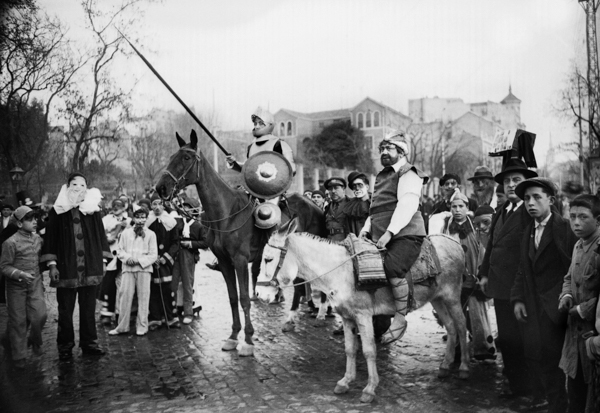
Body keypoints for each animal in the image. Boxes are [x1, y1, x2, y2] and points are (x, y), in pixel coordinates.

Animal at [152, 128, 326, 354]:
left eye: (186, 158)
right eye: (172, 156)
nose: (161, 188)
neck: (227, 213)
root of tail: (315, 207)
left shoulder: (241, 261)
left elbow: (244, 298)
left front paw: (249, 340)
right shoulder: (225, 262)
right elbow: (233, 298)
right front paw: (233, 337)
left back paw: (317, 312)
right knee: (299, 285)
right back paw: (292, 318)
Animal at [255, 219, 472, 402]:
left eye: (268, 259)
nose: (258, 293)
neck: (341, 271)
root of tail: (453, 241)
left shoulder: (364, 315)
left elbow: (369, 351)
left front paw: (369, 388)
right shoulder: (347, 317)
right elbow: (350, 349)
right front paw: (345, 381)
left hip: (452, 296)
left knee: (461, 326)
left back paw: (463, 367)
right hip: (437, 299)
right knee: (451, 327)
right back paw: (445, 365)